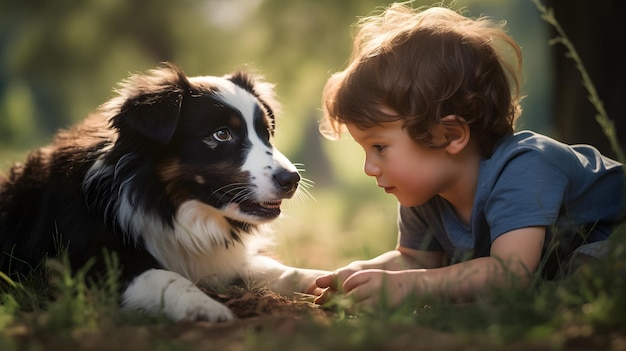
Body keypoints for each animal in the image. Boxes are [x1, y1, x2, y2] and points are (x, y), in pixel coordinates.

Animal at [0, 62, 330, 322]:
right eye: (221, 134)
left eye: (267, 133)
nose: (292, 180)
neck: (167, 205)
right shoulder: (89, 265)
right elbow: (163, 275)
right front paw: (203, 306)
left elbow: (272, 268)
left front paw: (321, 279)